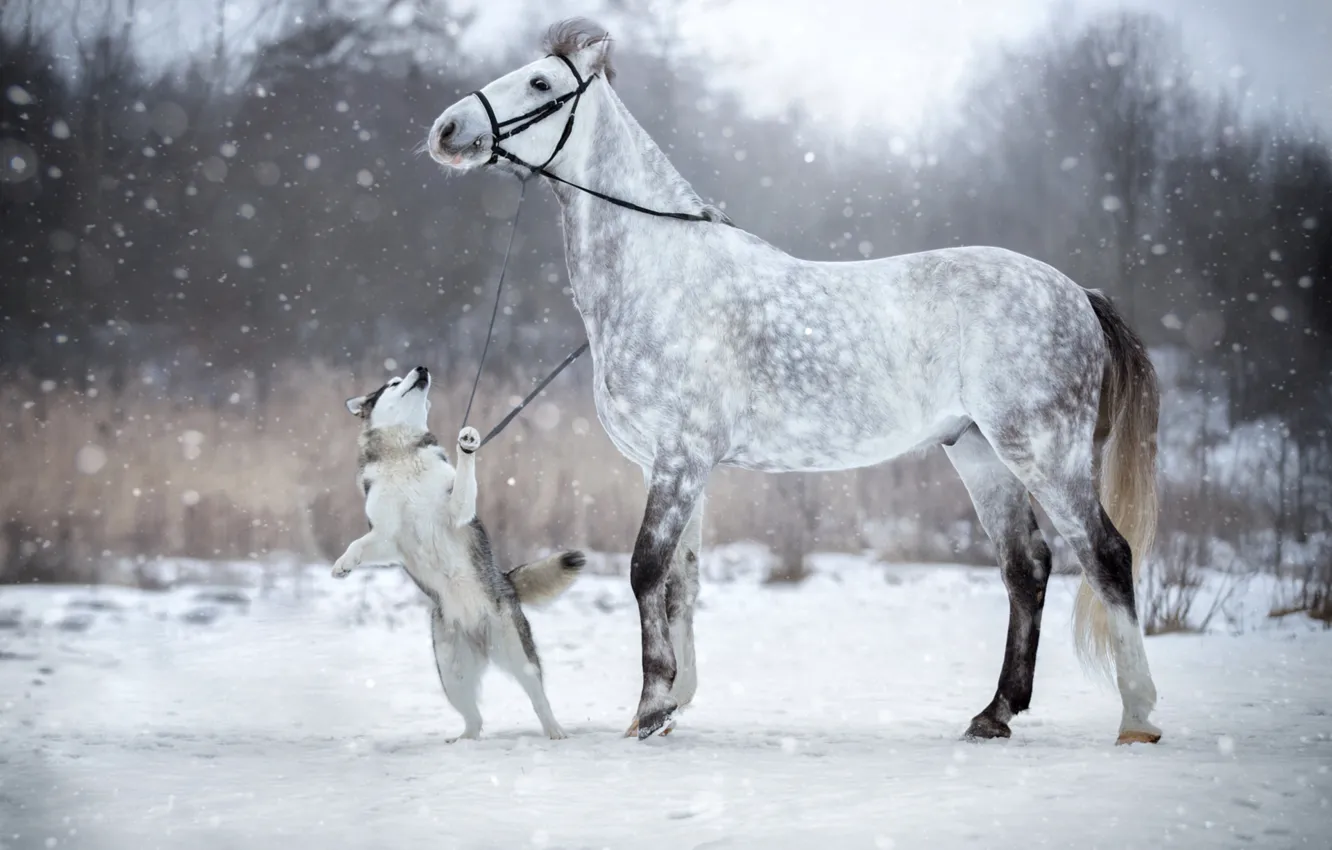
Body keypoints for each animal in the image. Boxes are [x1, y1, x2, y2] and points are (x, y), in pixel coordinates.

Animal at [330, 367, 580, 740]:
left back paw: (554, 730)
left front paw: (468, 443)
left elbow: (463, 480)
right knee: (474, 719)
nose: (422, 368)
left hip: (517, 654)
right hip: (452, 675)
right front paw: (344, 564)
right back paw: (463, 741)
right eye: (393, 382)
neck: (402, 456)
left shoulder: (455, 512)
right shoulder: (388, 538)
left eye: (400, 376)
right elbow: (358, 544)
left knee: (538, 699)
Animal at [420, 14, 1161, 746]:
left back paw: (1137, 718)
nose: (447, 130)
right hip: (981, 453)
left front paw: (651, 706)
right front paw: (672, 703)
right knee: (1026, 566)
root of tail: (1077, 293)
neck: (661, 273)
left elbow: (645, 569)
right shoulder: (668, 466)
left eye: (541, 82)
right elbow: (681, 581)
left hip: (1044, 452)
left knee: (1106, 555)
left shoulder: (681, 459)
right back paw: (995, 714)